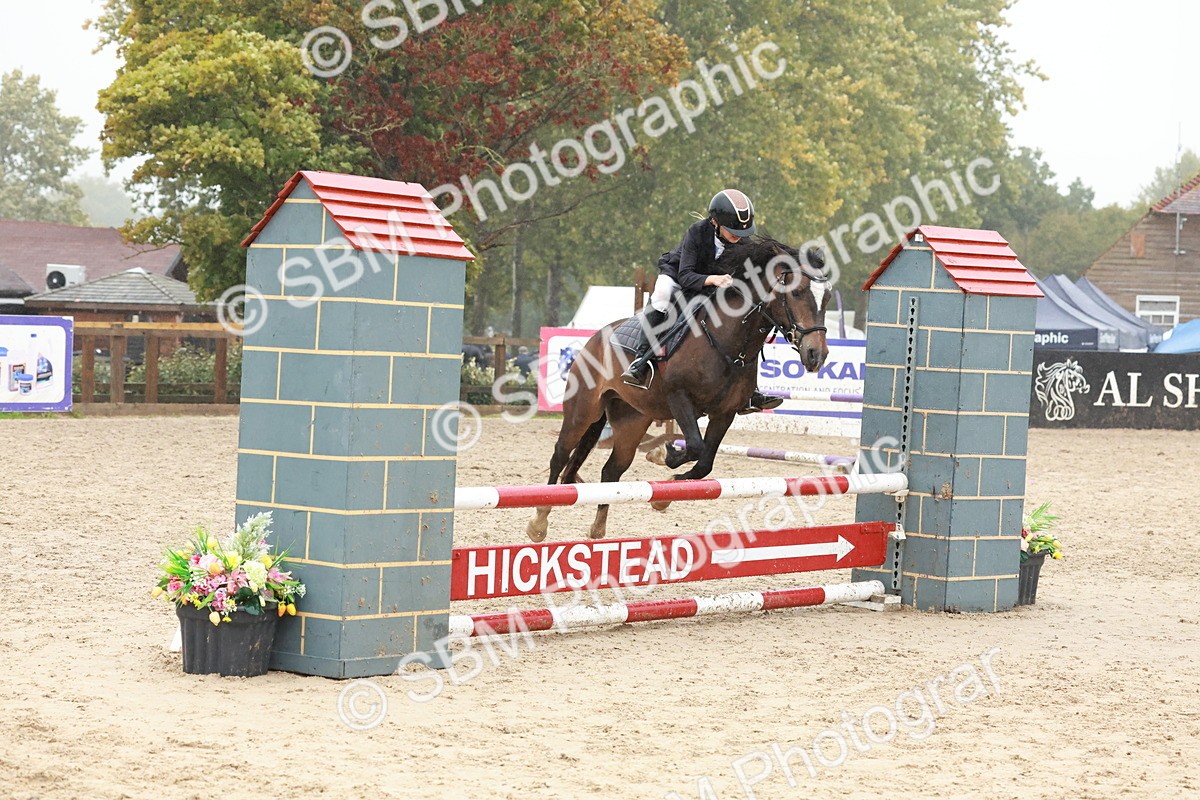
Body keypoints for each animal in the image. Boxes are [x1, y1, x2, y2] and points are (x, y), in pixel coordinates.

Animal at [527, 236, 830, 542]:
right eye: (797, 293)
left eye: (826, 298)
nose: (816, 355)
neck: (727, 340)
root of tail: (595, 339)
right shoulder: (679, 398)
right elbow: (695, 447)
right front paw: (663, 456)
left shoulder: (725, 413)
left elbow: (705, 462)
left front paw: (664, 492)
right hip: (582, 411)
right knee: (560, 455)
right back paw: (539, 522)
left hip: (632, 418)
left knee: (612, 469)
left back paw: (598, 527)